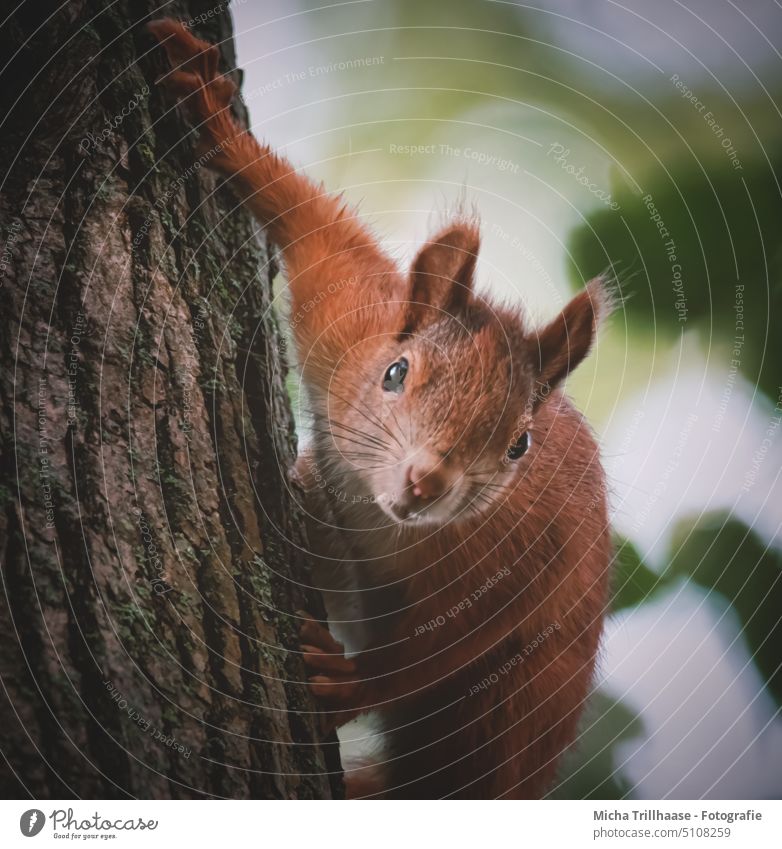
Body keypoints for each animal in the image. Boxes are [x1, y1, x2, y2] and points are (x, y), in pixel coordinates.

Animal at [145, 19, 612, 800]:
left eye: (520, 444)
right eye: (395, 373)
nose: (427, 482)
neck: (380, 514)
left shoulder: (525, 551)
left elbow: (452, 640)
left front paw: (350, 683)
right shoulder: (347, 322)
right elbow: (317, 228)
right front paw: (211, 112)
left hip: (510, 711)